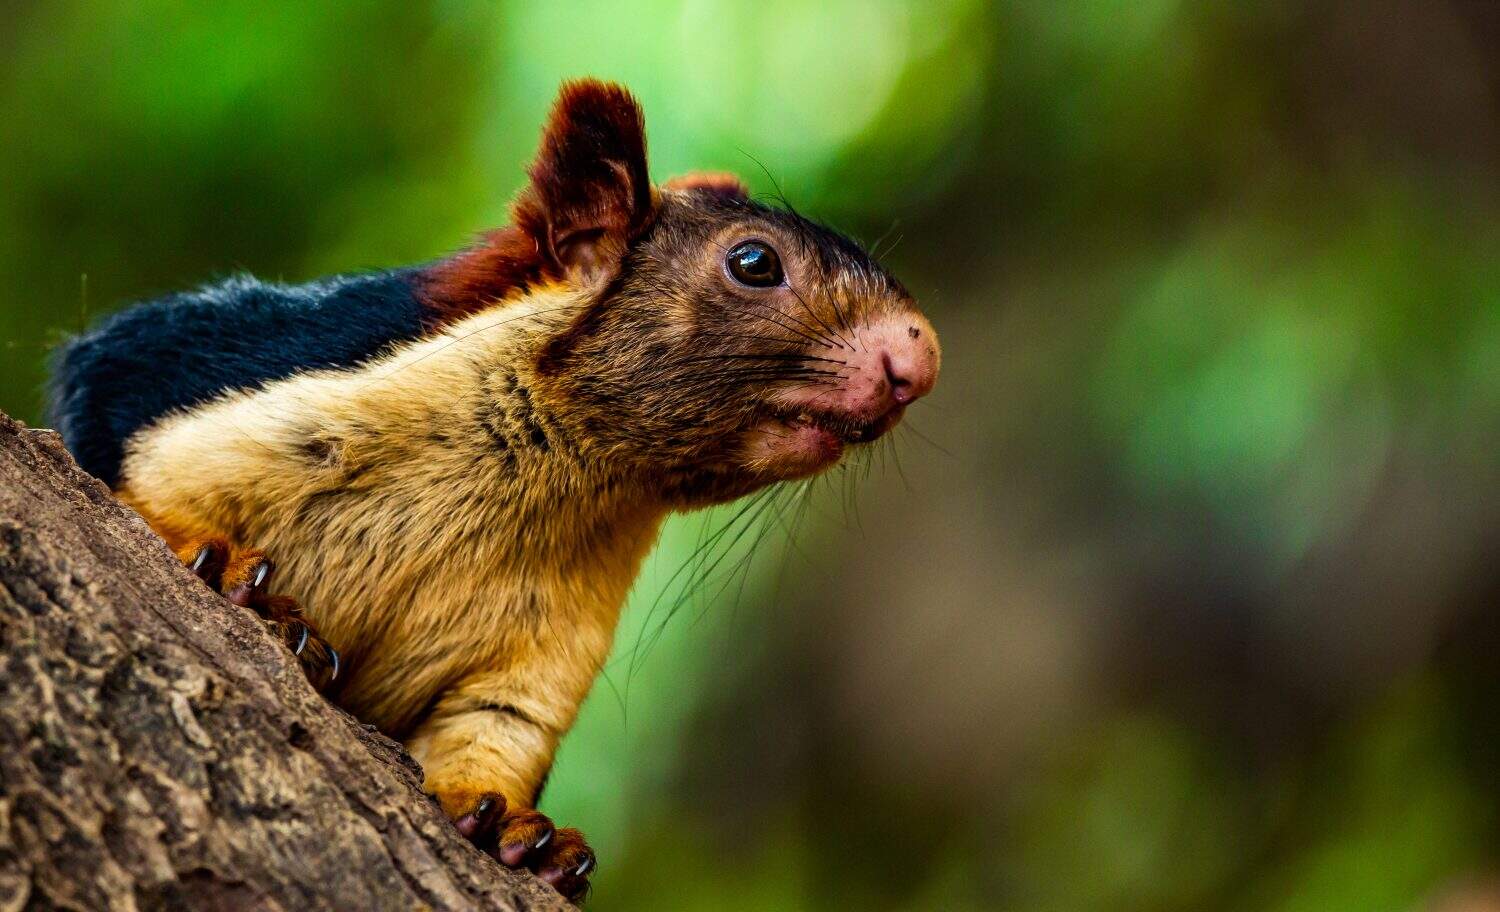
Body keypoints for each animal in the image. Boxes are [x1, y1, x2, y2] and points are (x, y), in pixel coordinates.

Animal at [49, 79, 939, 903]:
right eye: (755, 262)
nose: (921, 359)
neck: (556, 478)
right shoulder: (186, 401)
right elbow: (136, 488)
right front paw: (216, 559)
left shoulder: (544, 646)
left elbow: (494, 730)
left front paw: (518, 829)